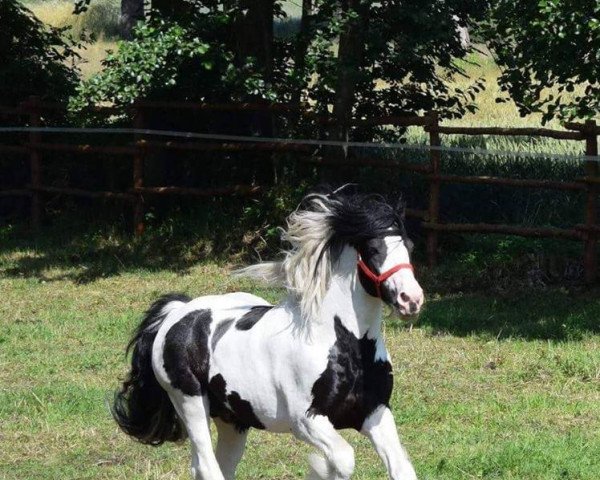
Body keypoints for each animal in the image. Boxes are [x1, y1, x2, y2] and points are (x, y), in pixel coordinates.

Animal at [111, 189, 422, 478]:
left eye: (409, 246)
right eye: (373, 249)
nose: (412, 299)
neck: (344, 346)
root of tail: (176, 313)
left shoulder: (375, 412)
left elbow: (401, 468)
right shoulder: (306, 421)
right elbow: (343, 459)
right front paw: (318, 468)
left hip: (233, 421)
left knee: (221, 466)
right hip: (190, 403)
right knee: (207, 467)